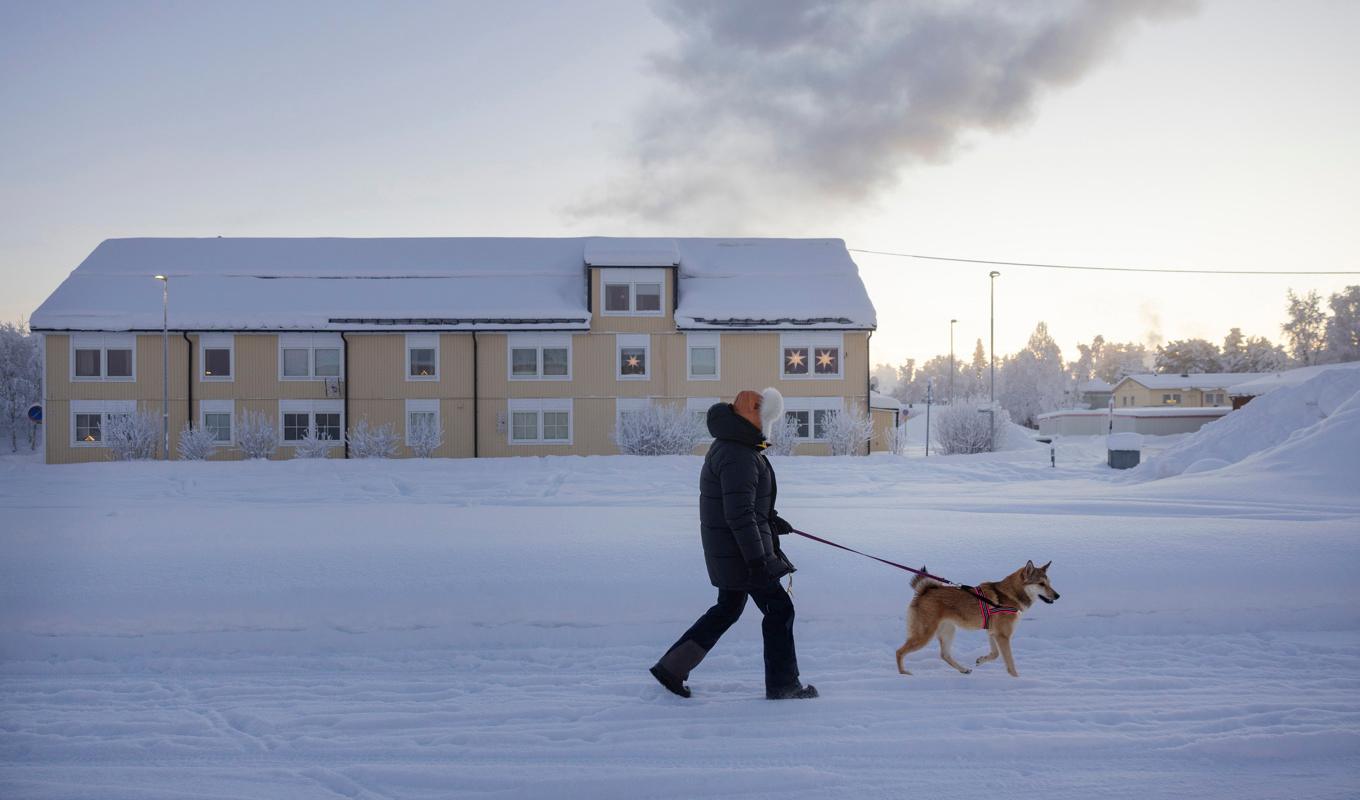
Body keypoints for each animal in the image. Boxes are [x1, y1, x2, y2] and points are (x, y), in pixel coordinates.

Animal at [897, 560, 1055, 677]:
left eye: (1049, 583)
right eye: (1041, 584)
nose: (1057, 595)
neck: (1009, 595)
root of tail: (924, 591)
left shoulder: (993, 633)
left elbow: (995, 654)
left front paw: (981, 660)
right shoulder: (1002, 636)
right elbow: (1009, 661)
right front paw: (1016, 679)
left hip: (948, 631)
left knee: (944, 655)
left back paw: (963, 669)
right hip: (924, 635)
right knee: (899, 652)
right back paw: (903, 673)